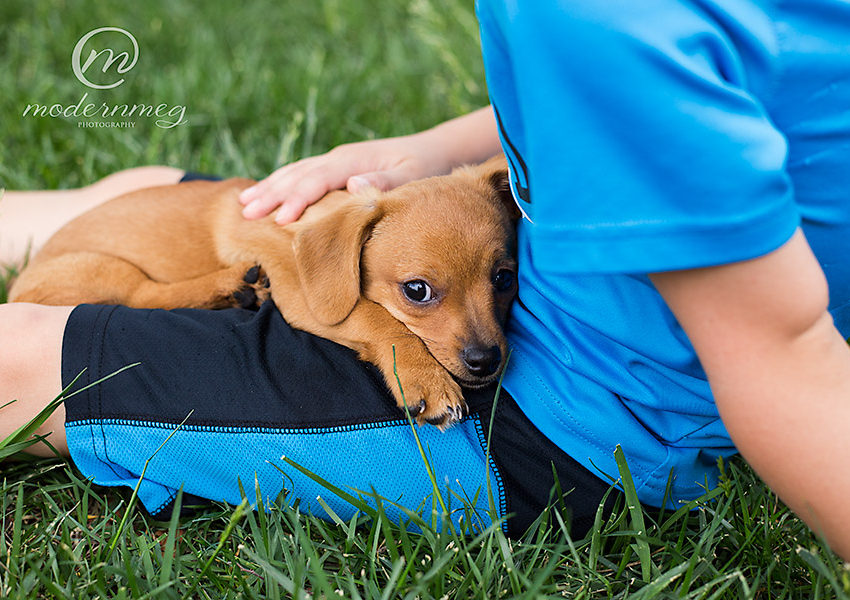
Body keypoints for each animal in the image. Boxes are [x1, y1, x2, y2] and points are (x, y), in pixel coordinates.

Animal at [11, 155, 516, 426]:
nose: (486, 360)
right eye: (416, 290)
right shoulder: (303, 294)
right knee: (143, 294)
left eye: (504, 279)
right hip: (101, 268)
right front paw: (424, 377)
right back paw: (226, 284)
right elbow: (378, 318)